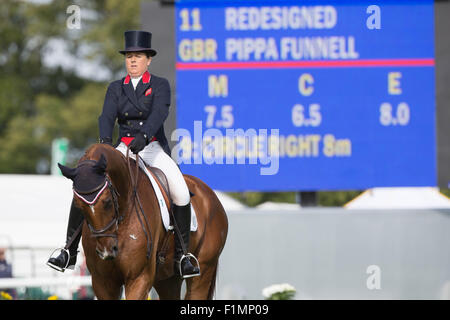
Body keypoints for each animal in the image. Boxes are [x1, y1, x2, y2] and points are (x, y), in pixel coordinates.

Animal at [59, 144, 229, 298]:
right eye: (78, 206)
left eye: (107, 202)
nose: (106, 251)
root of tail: (210, 194)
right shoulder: (103, 282)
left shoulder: (139, 278)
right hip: (167, 279)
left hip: (203, 271)